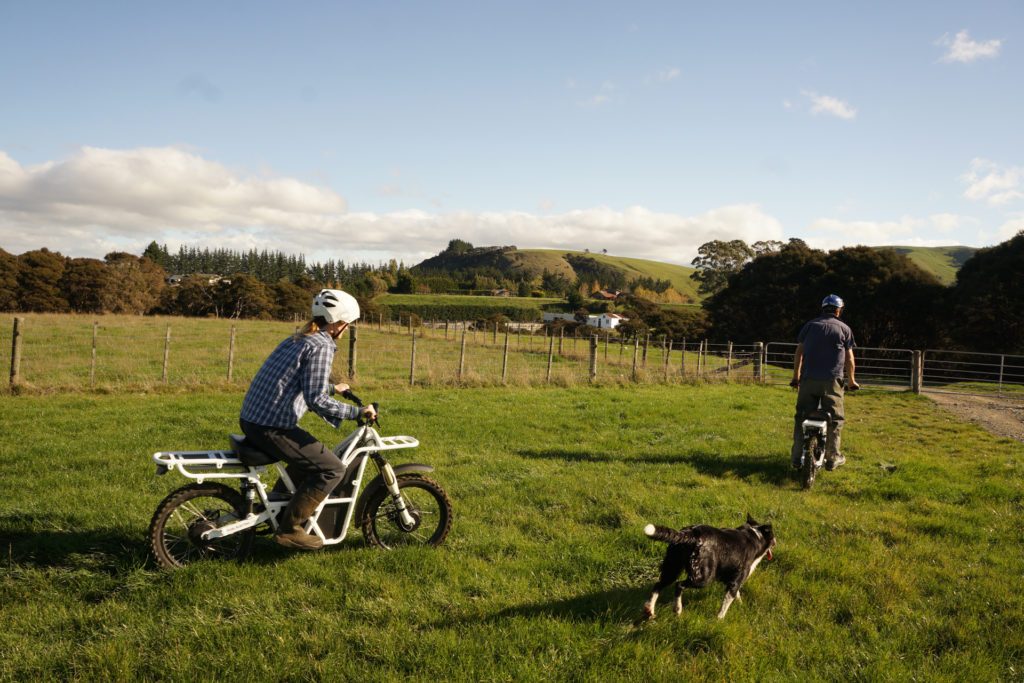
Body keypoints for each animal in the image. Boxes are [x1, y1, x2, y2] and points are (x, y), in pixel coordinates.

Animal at [638, 511, 774, 618]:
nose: (776, 541)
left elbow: (736, 594)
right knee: (679, 585)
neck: (755, 535)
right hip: (704, 577)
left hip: (672, 567)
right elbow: (726, 603)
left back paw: (649, 610)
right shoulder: (737, 579)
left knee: (658, 585)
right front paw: (719, 620)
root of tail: (690, 533)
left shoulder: (731, 579)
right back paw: (677, 609)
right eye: (773, 537)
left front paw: (740, 604)